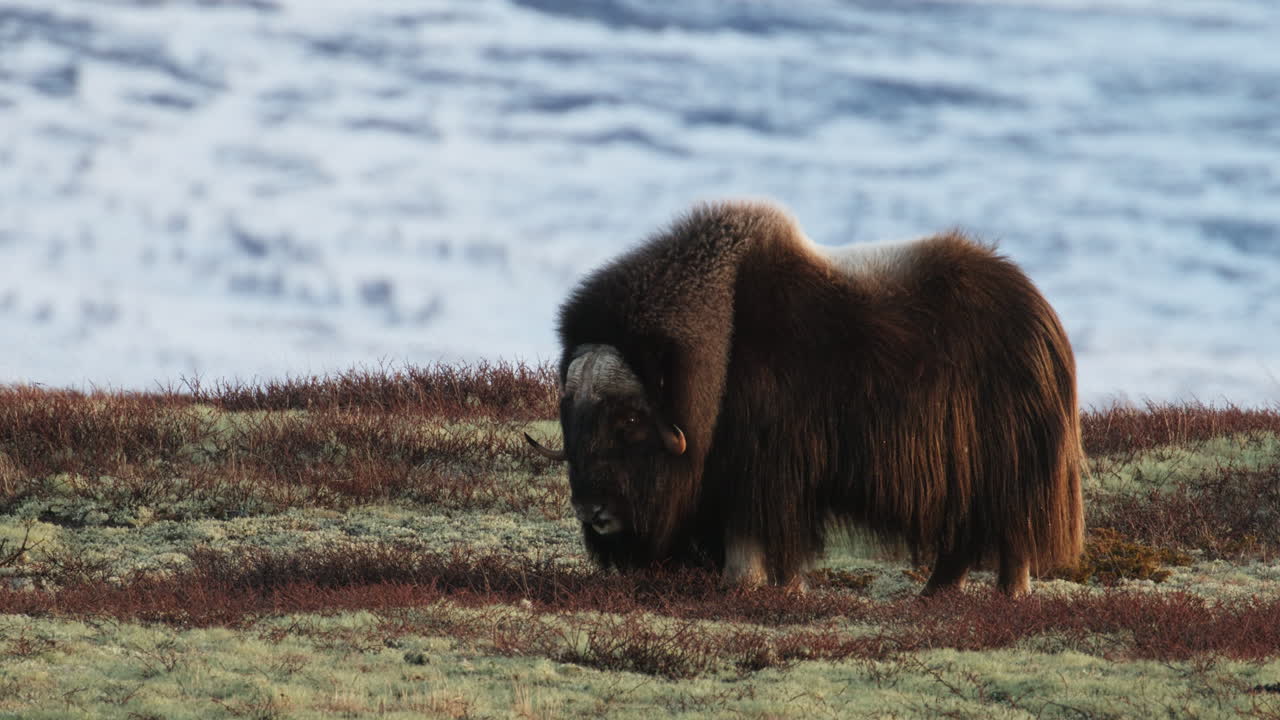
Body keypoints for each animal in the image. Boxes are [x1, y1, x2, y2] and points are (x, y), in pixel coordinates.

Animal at [526, 200, 1083, 595]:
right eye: (571, 415)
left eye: (629, 420)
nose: (593, 511)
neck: (717, 349)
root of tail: (1043, 316)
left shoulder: (766, 470)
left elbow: (759, 532)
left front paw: (754, 585)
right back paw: (935, 594)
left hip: (1003, 467)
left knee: (1011, 530)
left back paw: (1006, 594)